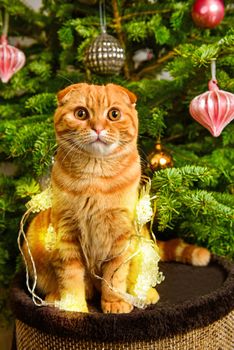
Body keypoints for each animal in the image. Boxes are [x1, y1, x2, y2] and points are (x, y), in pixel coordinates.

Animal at [23, 82, 210, 314]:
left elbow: (114, 276)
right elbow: (70, 276)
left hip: (142, 245)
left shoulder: (121, 236)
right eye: (81, 113)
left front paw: (114, 301)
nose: (98, 128)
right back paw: (57, 296)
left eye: (114, 114)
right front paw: (74, 307)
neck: (95, 179)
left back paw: (145, 294)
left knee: (138, 278)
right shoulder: (67, 233)